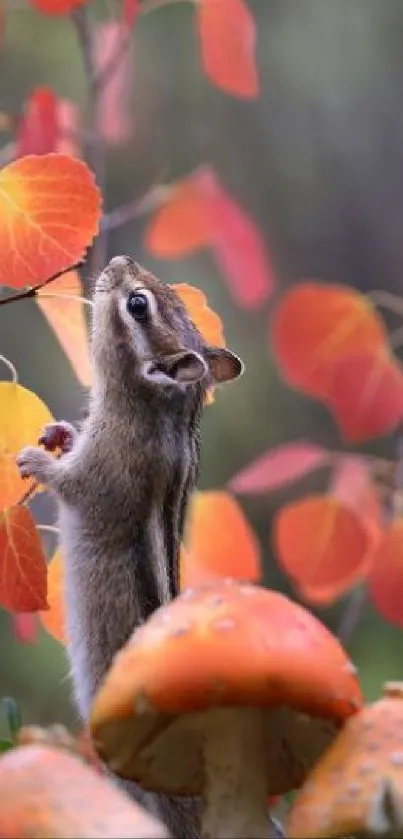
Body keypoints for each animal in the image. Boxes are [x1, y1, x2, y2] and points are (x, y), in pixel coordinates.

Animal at [15, 256, 243, 839]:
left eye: (137, 304)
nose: (117, 261)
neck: (161, 410)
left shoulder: (104, 471)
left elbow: (72, 485)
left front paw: (36, 460)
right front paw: (59, 433)